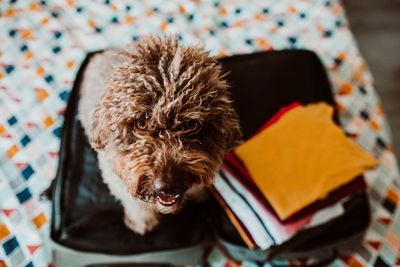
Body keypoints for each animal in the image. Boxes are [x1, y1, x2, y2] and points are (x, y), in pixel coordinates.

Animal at [77, 36, 241, 236]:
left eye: (190, 124)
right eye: (141, 124)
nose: (168, 187)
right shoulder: (117, 181)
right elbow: (136, 205)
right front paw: (143, 222)